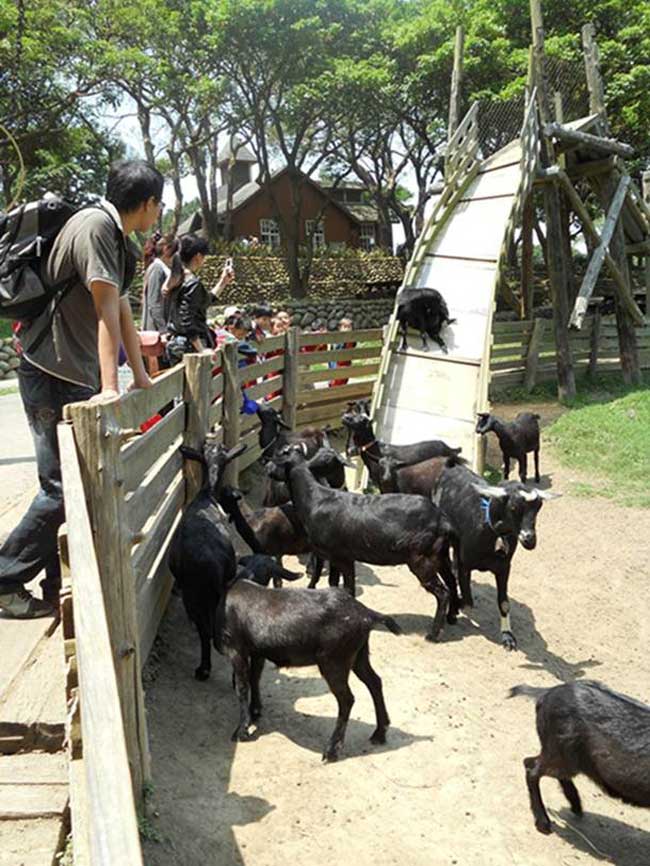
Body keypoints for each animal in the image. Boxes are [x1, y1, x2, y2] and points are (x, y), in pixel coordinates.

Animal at [167, 442, 253, 680]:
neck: (206, 494)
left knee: (205, 631)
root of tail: (210, 566)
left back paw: (204, 668)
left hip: (194, 593)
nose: (211, 444)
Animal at [218, 580, 398, 756]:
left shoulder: (236, 649)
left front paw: (241, 731)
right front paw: (255, 712)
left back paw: (332, 750)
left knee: (347, 699)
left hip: (334, 661)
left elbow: (242, 687)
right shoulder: (257, 651)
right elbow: (254, 678)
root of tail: (366, 614)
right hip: (359, 655)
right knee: (374, 682)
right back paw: (379, 733)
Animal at [266, 442, 454, 636]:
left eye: (280, 456)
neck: (314, 498)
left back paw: (433, 634)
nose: (267, 468)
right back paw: (450, 618)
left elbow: (348, 588)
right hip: (440, 555)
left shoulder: (343, 557)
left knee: (443, 593)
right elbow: (334, 583)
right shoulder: (334, 556)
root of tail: (442, 519)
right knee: (452, 583)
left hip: (423, 559)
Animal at [430, 460, 556, 648]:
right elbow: (467, 599)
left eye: (538, 507)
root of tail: (451, 466)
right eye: (513, 507)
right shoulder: (465, 564)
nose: (530, 540)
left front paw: (508, 636)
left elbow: (504, 603)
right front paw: (455, 608)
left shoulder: (504, 567)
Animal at [508, 680, 648, 832]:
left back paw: (576, 807)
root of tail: (547, 693)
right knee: (532, 769)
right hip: (561, 754)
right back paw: (544, 823)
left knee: (530, 762)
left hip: (563, 755)